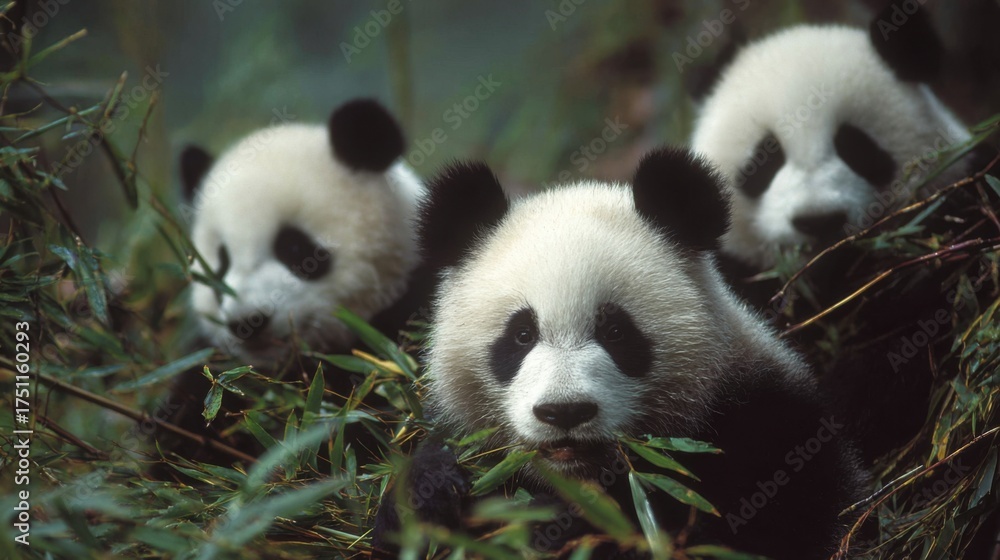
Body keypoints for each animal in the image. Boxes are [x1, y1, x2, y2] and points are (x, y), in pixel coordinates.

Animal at [373, 148, 867, 559]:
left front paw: (559, 526)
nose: (564, 412)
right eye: (521, 335)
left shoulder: (772, 434)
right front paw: (428, 491)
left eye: (615, 331)